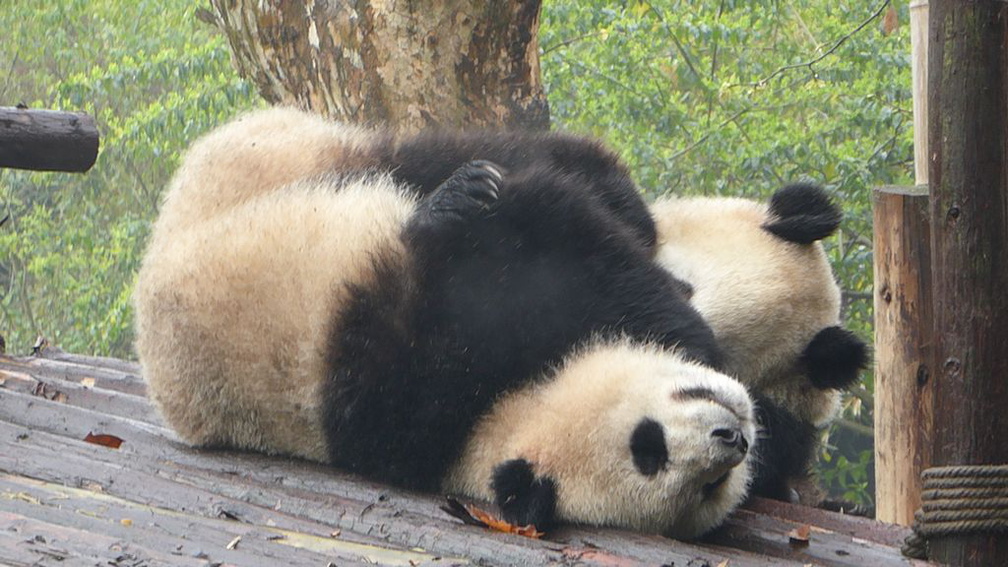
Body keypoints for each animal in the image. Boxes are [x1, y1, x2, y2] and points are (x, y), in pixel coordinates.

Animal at [134, 107, 753, 536]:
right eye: (651, 452)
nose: (734, 437)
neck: (498, 413)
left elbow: (559, 223)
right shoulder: (415, 376)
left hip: (292, 159)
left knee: (446, 158)